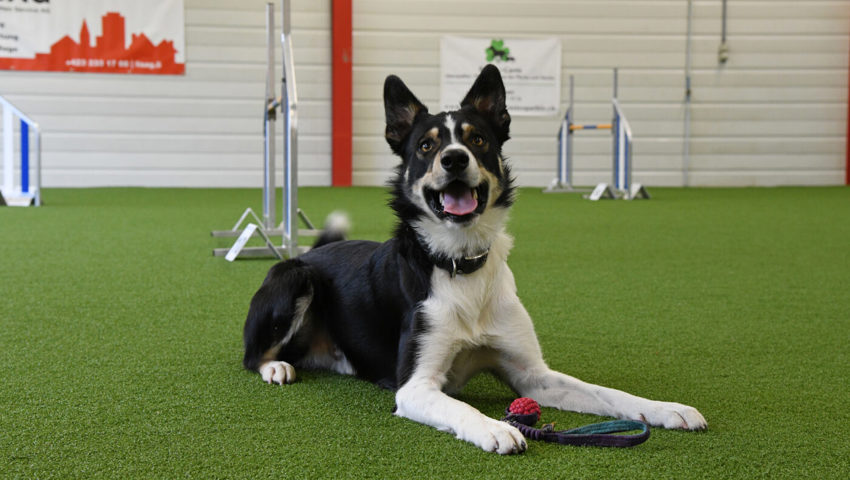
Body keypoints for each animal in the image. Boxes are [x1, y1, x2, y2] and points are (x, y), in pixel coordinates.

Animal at [240, 64, 704, 454]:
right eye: (426, 145)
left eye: (477, 139)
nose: (454, 158)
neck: (460, 265)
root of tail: (314, 251)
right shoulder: (416, 386)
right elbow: (460, 407)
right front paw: (496, 428)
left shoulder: (533, 376)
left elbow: (607, 393)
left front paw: (666, 408)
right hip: (294, 278)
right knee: (251, 356)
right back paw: (276, 367)